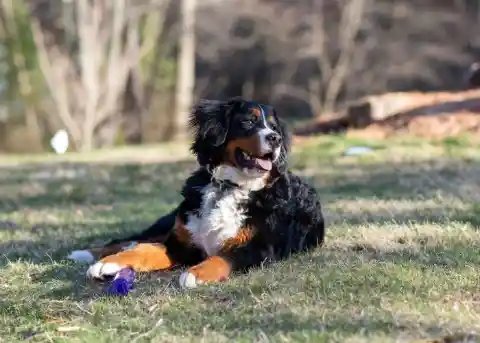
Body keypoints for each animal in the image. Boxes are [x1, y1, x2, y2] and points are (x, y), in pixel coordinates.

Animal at [67, 97, 324, 290]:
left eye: (274, 127)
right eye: (248, 121)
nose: (275, 139)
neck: (228, 187)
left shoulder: (259, 248)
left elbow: (224, 257)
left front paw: (196, 273)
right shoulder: (180, 243)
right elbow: (148, 250)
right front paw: (109, 264)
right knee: (131, 240)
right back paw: (86, 253)